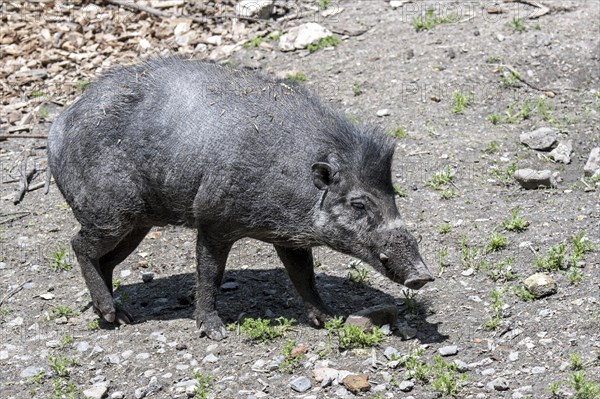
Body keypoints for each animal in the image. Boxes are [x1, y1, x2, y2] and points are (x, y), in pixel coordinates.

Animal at [47, 58, 432, 340]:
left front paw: (328, 319)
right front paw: (215, 332)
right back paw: (112, 314)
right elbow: (210, 274)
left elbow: (303, 276)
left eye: (393, 196)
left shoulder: (288, 238)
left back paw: (120, 317)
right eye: (358, 204)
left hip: (136, 223)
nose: (423, 276)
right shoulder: (213, 220)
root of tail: (57, 127)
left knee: (106, 260)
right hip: (110, 213)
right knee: (79, 245)